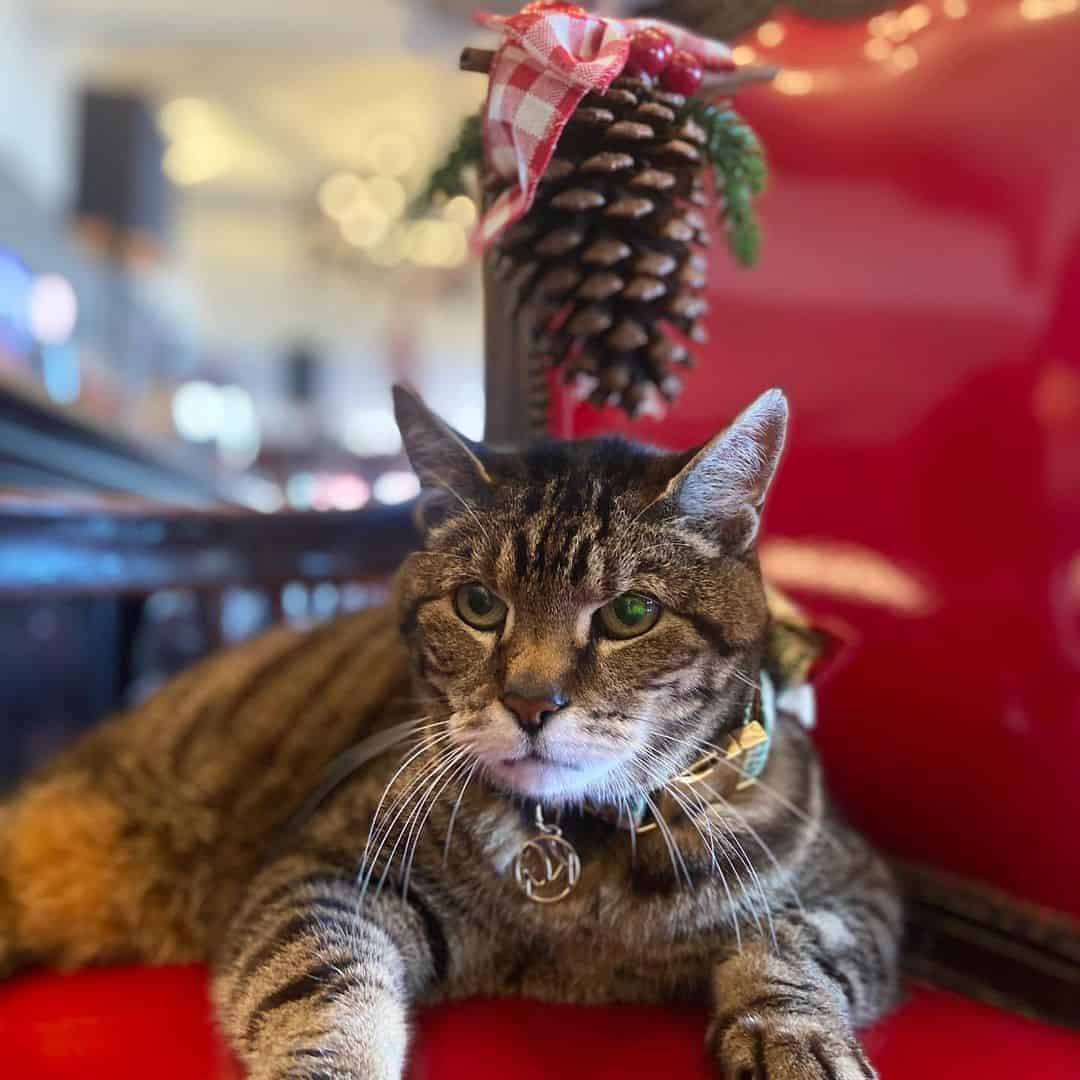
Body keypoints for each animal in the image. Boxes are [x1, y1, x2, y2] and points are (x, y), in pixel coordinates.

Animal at [0, 390, 898, 1080]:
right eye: (478, 605)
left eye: (631, 614)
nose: (531, 703)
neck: (588, 869)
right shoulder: (322, 873)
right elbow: (320, 991)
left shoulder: (865, 895)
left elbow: (791, 948)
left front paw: (793, 1039)